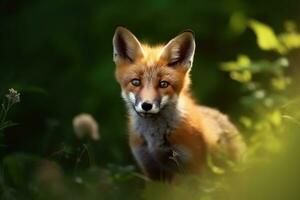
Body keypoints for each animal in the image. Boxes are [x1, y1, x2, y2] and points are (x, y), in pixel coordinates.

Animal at [112, 26, 246, 181]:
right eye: (135, 82)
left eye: (163, 84)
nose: (146, 105)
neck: (155, 141)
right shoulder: (150, 168)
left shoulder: (193, 167)